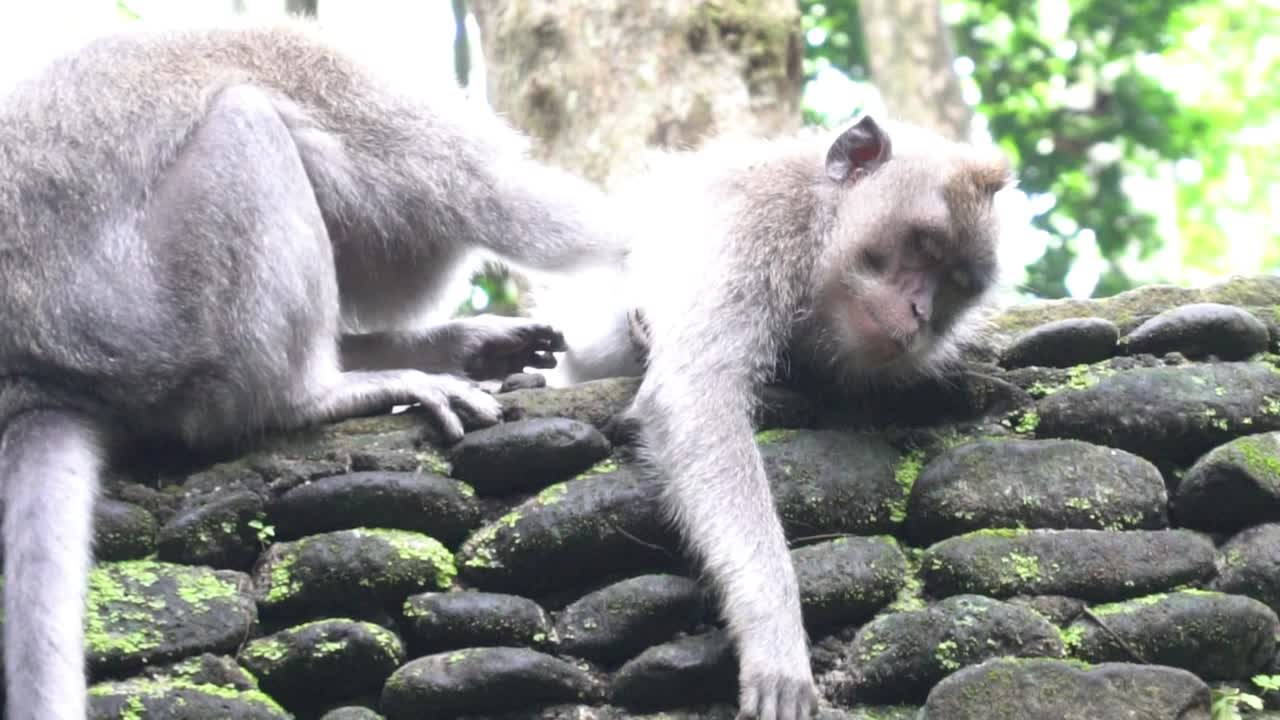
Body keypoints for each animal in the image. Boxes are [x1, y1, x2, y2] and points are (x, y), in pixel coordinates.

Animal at [0, 21, 625, 720]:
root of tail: (36, 377)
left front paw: (473, 342)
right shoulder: (377, 106)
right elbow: (510, 207)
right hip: (151, 331)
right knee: (247, 125)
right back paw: (309, 396)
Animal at [537, 116, 1011, 720]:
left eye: (954, 281)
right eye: (923, 248)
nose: (920, 312)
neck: (816, 224)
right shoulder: (761, 221)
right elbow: (699, 392)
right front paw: (775, 634)